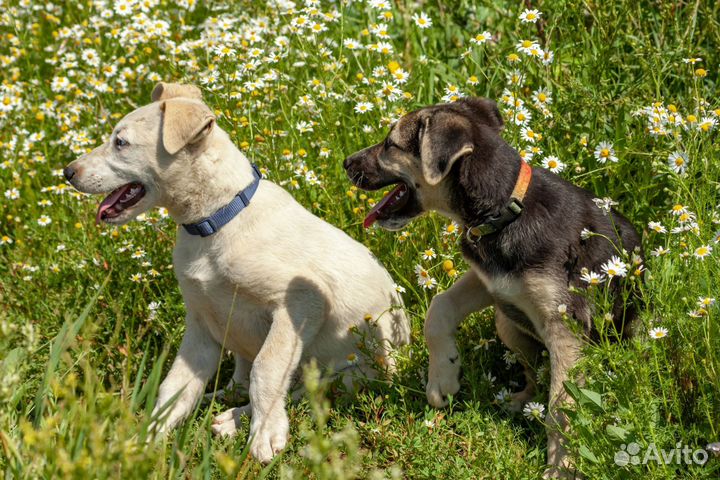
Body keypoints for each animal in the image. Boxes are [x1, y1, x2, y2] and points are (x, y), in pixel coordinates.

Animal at [64, 82, 408, 462]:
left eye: (121, 142)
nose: (67, 173)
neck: (214, 222)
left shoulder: (302, 301)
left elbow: (267, 371)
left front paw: (266, 434)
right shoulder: (200, 326)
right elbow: (174, 388)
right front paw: (145, 439)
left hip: (354, 372)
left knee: (305, 391)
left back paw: (235, 419)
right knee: (240, 381)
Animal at [344, 96, 640, 476]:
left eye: (390, 144)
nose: (346, 163)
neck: (504, 209)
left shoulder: (566, 328)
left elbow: (563, 405)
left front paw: (563, 466)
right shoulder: (491, 281)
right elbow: (439, 306)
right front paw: (442, 377)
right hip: (507, 324)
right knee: (535, 375)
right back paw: (518, 402)